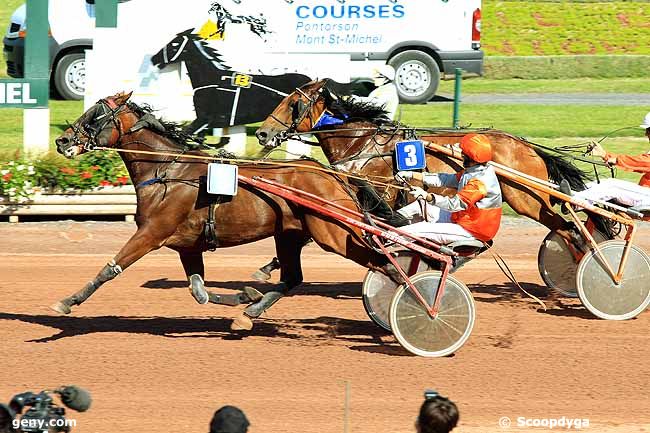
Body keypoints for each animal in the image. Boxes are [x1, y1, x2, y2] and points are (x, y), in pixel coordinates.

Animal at [52, 91, 390, 328]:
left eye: (94, 116)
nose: (62, 140)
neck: (168, 170)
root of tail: (330, 173)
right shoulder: (187, 245)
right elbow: (199, 291)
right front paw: (245, 295)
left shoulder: (152, 233)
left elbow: (110, 268)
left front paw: (67, 301)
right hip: (291, 234)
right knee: (293, 277)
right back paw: (248, 314)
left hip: (333, 234)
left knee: (382, 262)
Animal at [253, 79, 596, 243]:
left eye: (294, 104)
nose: (262, 133)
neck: (360, 141)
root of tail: (526, 146)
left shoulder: (379, 190)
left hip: (527, 200)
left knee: (568, 229)